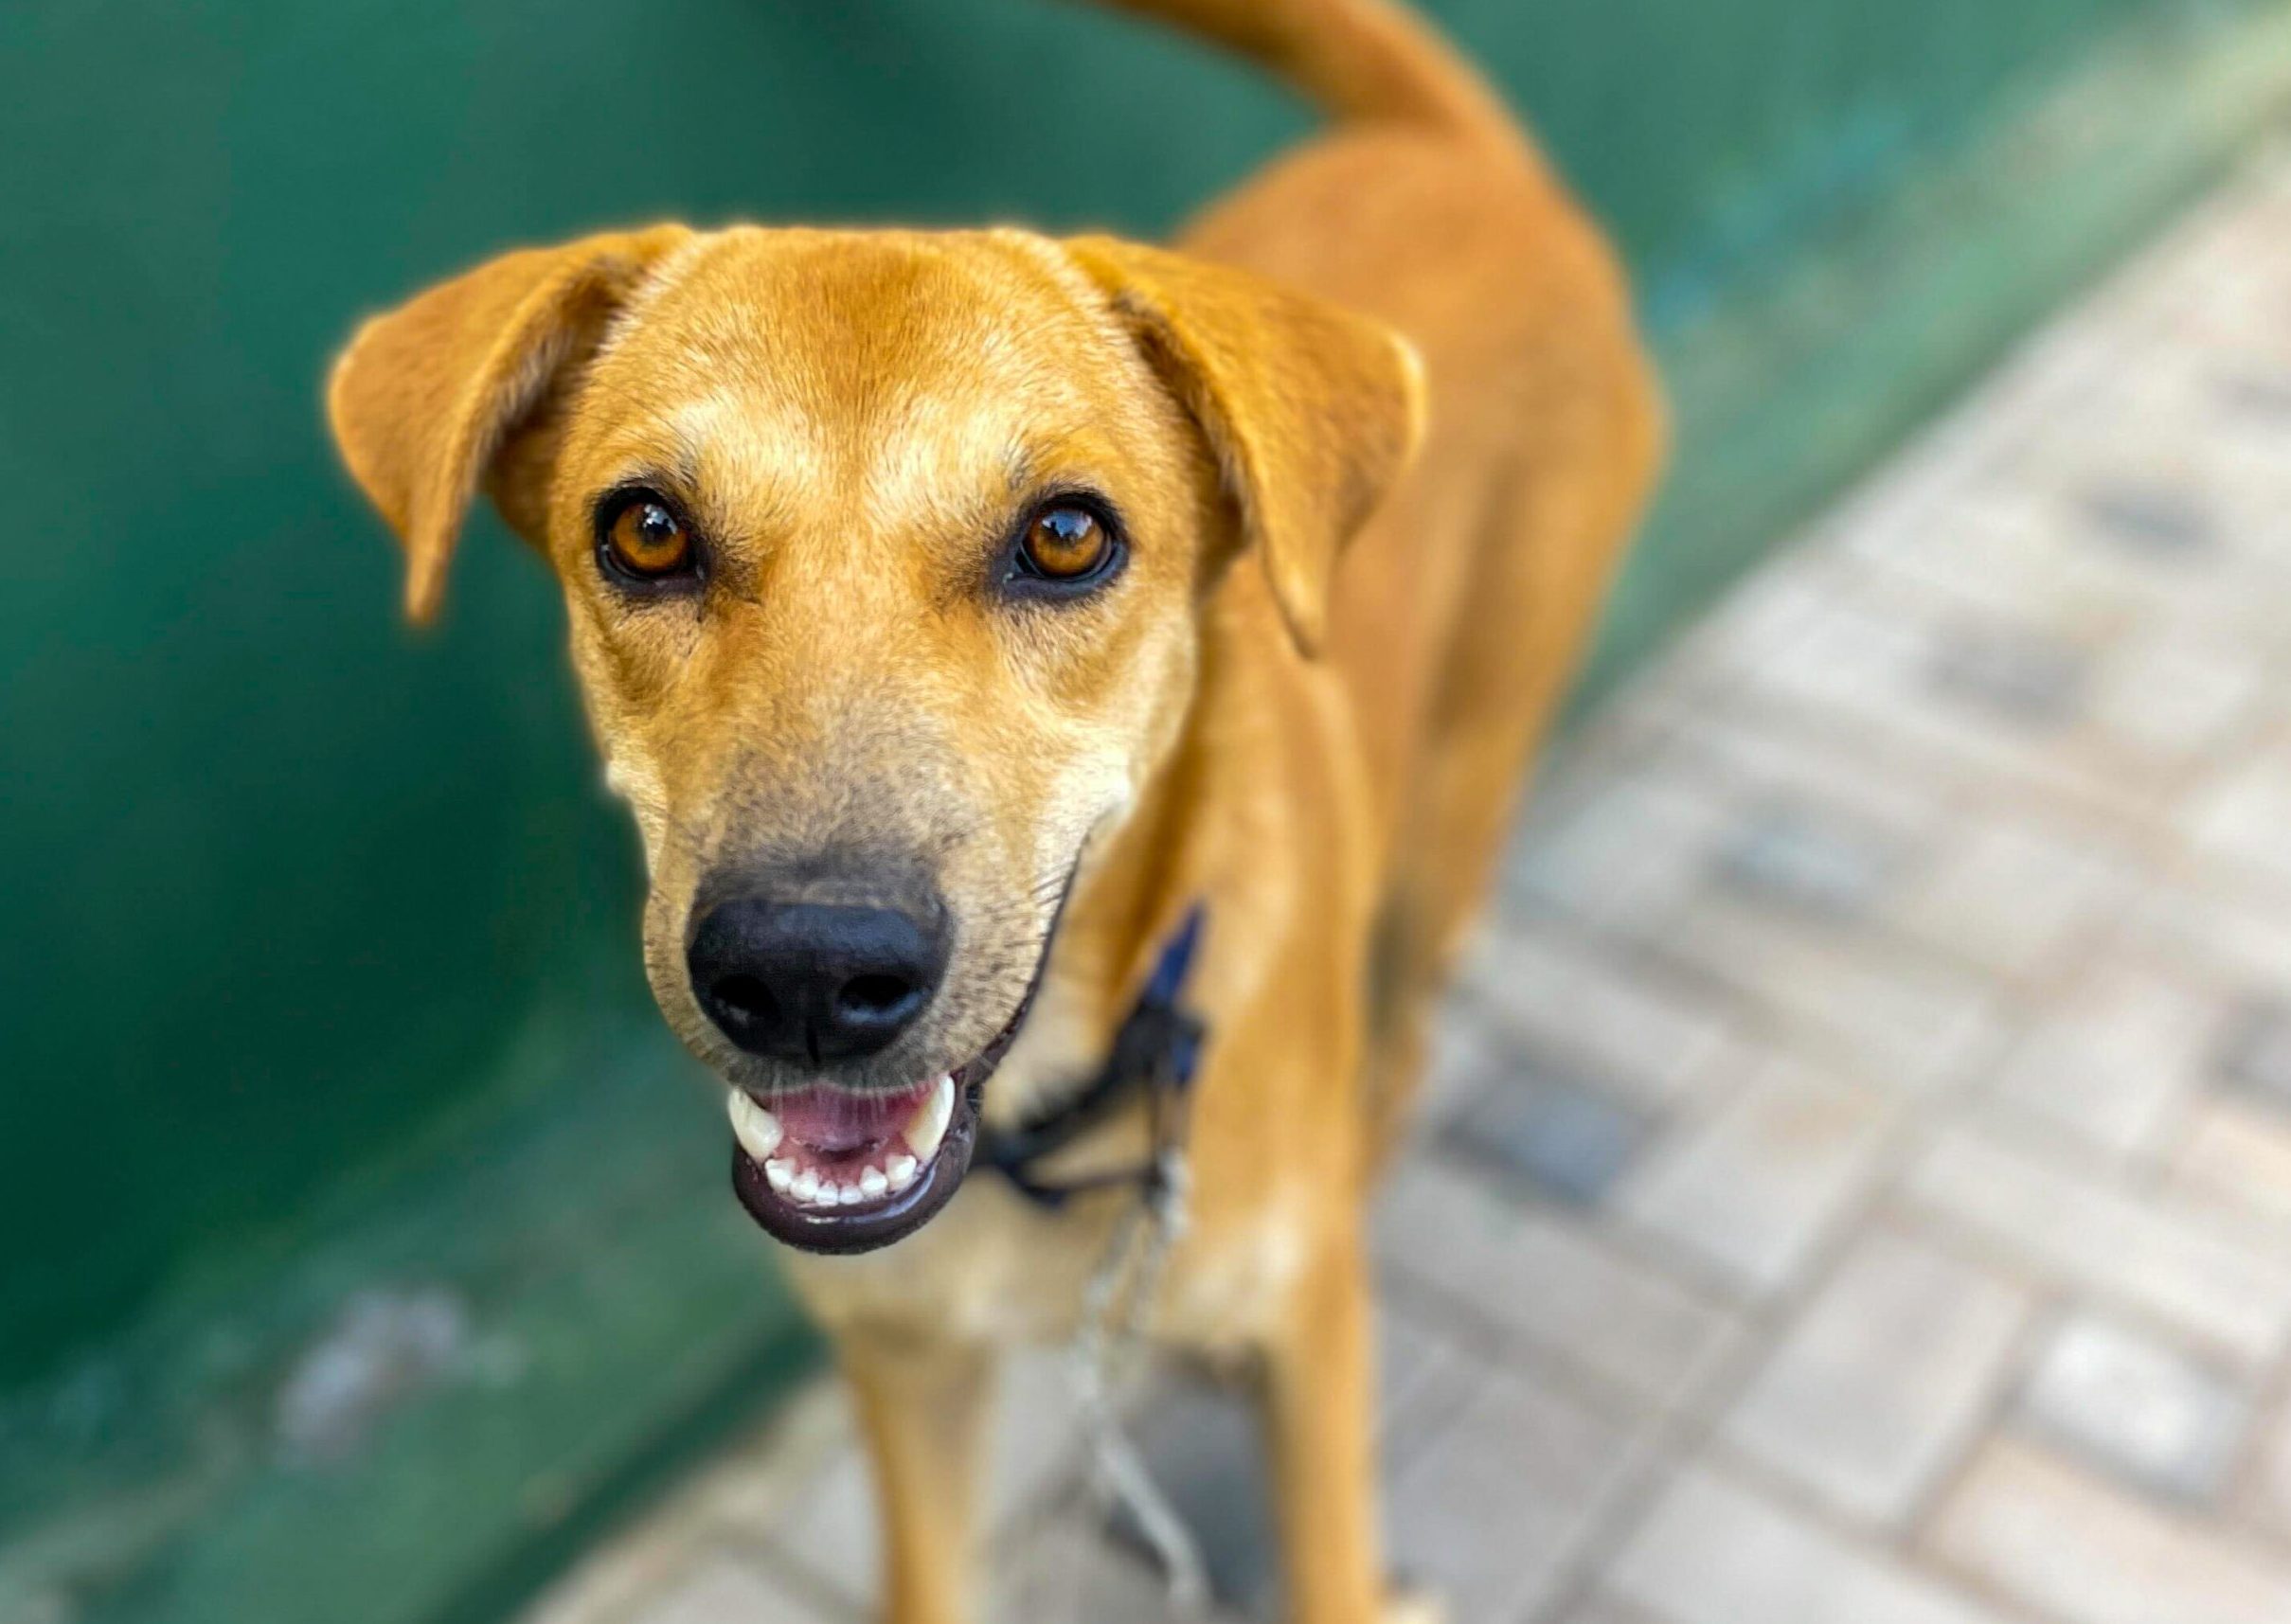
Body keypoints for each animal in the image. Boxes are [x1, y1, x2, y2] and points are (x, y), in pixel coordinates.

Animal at [323, 3, 1658, 1621]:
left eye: (1066, 535)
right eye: (643, 530)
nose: (805, 972)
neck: (1044, 1135)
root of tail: (1460, 157)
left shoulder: (1308, 1347)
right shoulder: (905, 1365)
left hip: (1453, 818)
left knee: (1397, 1044)